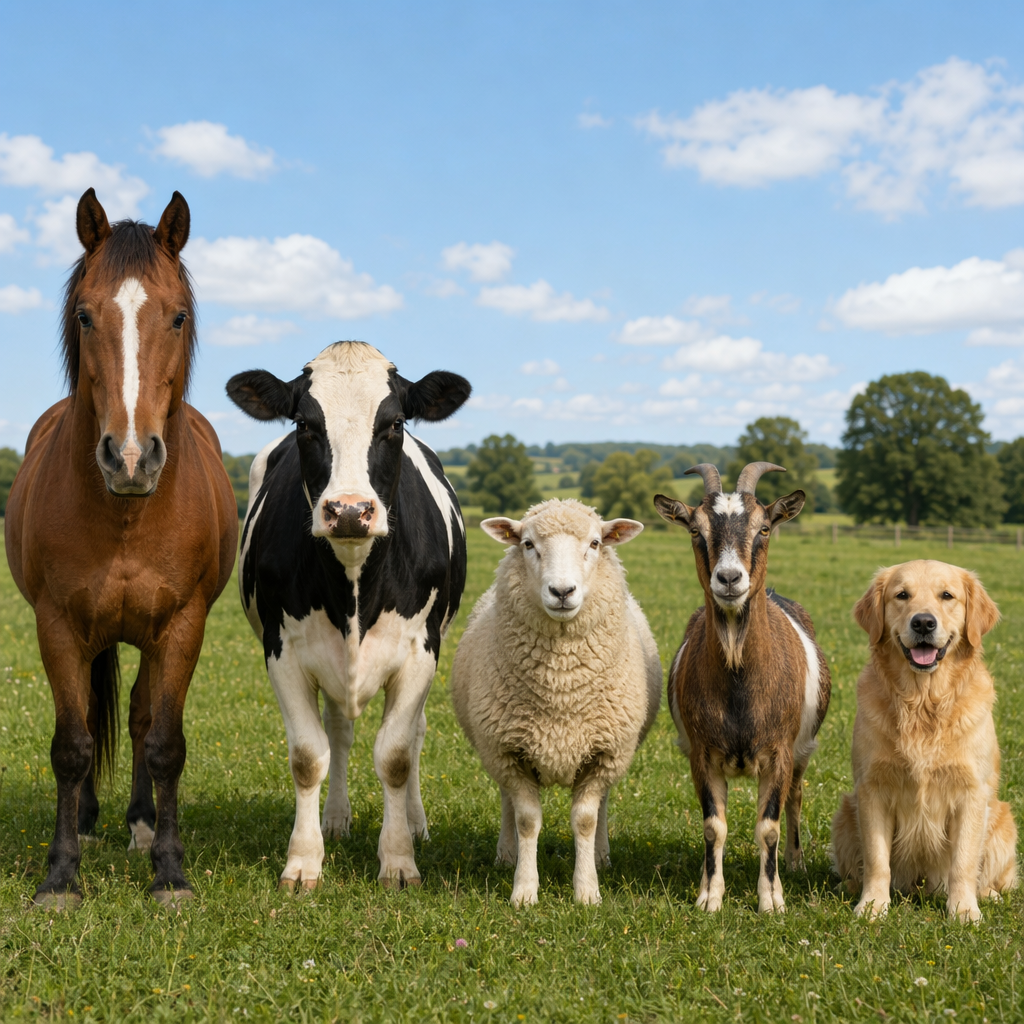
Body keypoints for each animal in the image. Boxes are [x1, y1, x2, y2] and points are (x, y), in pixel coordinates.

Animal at [5, 189, 238, 907]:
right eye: (85, 314)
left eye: (178, 315)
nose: (130, 457)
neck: (127, 516)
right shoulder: (55, 625)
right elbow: (71, 745)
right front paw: (61, 874)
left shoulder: (184, 626)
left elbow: (163, 742)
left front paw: (169, 871)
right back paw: (87, 819)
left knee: (137, 717)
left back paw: (138, 822)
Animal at [226, 341, 470, 890]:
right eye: (304, 424)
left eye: (395, 423)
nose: (351, 511)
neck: (355, 581)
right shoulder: (283, 651)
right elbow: (307, 756)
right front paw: (303, 862)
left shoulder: (419, 652)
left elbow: (396, 756)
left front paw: (399, 860)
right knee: (338, 730)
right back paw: (335, 819)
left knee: (415, 735)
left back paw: (415, 822)